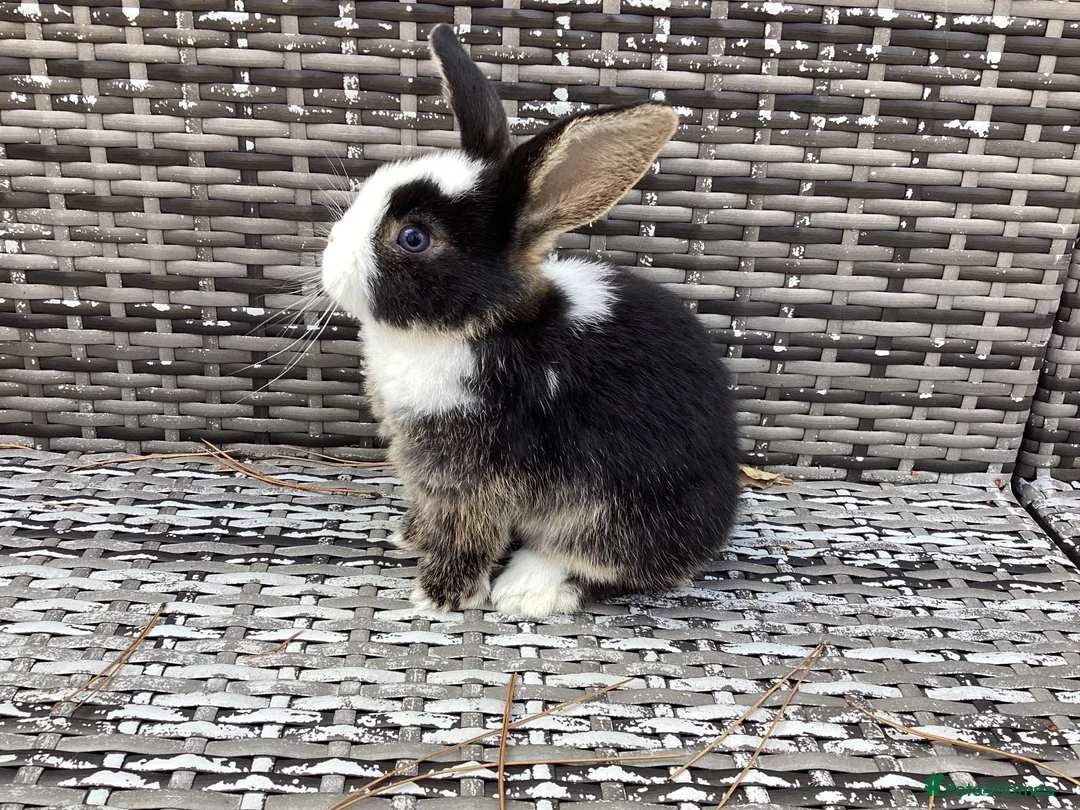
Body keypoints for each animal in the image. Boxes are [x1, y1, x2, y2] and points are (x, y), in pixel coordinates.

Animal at [320, 23, 741, 619]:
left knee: (608, 564)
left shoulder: (479, 471)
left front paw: (439, 594)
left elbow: (468, 530)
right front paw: (411, 536)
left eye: (413, 237)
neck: (473, 329)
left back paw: (527, 590)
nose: (330, 253)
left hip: (624, 513)